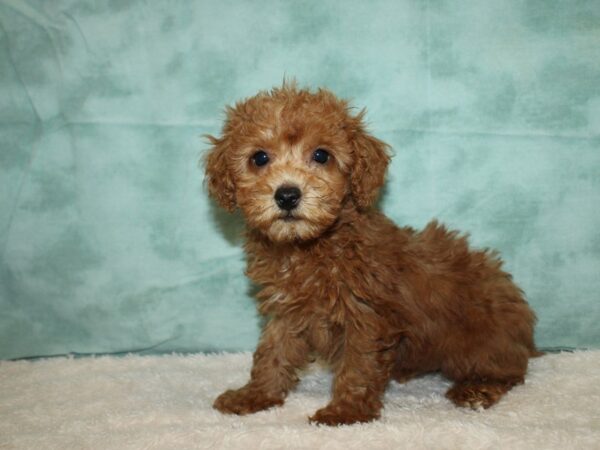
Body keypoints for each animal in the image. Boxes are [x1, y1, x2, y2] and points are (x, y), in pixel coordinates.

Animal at [206, 83, 540, 426]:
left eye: (321, 155)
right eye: (259, 158)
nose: (287, 195)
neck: (309, 246)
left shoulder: (366, 316)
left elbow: (358, 366)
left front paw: (345, 411)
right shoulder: (287, 310)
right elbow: (273, 353)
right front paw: (254, 395)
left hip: (477, 344)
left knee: (508, 372)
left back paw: (476, 391)